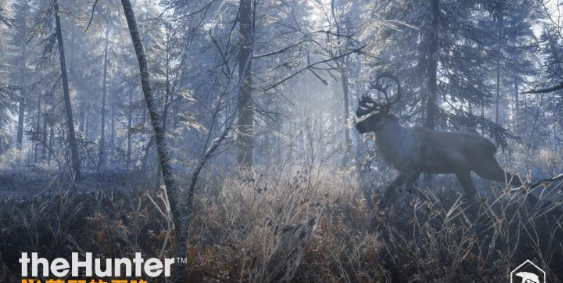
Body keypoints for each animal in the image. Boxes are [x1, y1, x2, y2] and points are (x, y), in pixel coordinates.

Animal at [356, 75, 524, 209]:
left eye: (376, 117)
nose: (358, 125)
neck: (395, 144)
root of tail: (492, 146)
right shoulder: (417, 169)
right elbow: (413, 189)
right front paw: (431, 202)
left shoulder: (409, 167)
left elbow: (390, 188)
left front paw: (379, 210)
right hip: (465, 169)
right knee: (476, 189)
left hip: (480, 166)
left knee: (511, 179)